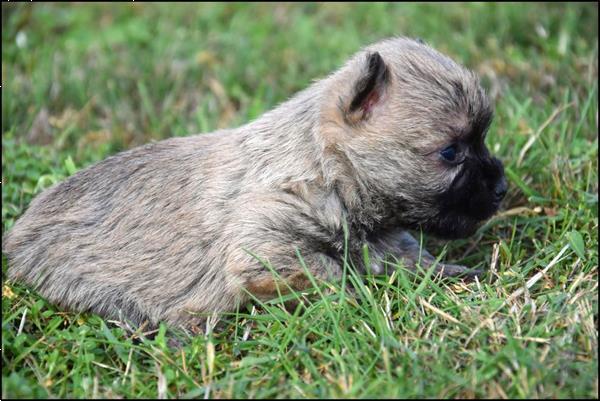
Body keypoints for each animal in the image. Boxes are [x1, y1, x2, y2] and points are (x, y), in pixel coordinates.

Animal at [3, 37, 506, 330]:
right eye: (450, 153)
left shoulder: (384, 236)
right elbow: (328, 270)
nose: (502, 190)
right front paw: (359, 297)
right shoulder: (265, 245)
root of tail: (15, 236)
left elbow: (409, 256)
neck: (323, 172)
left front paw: (457, 272)